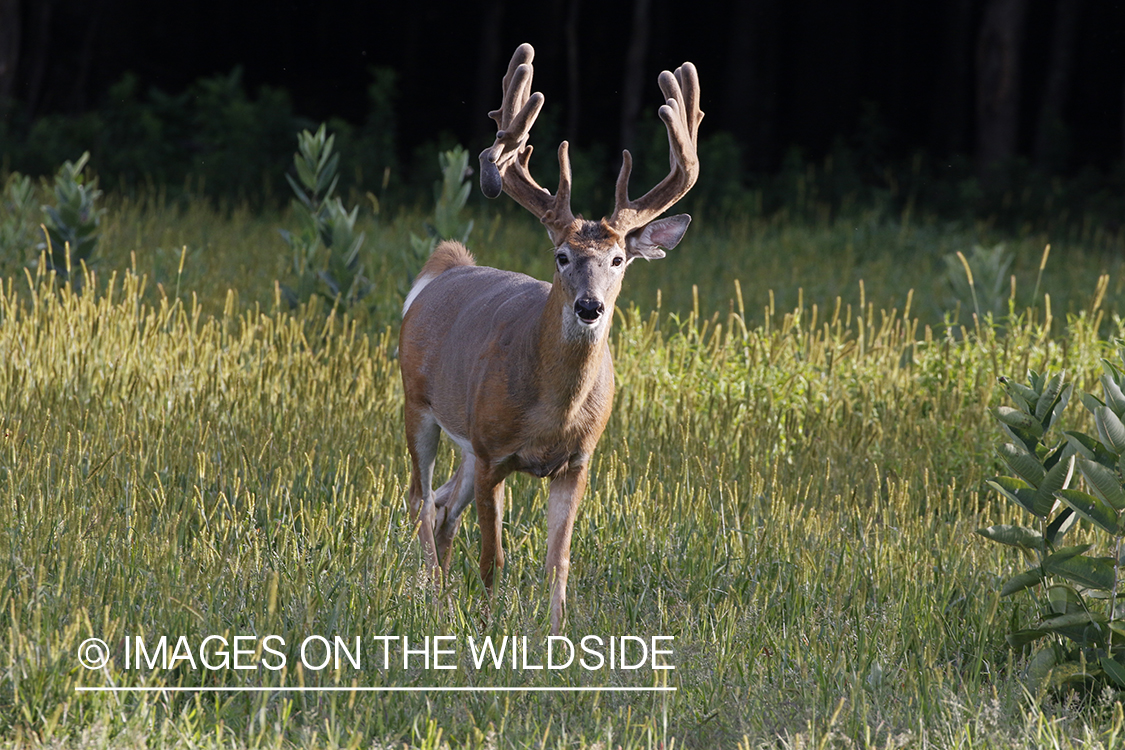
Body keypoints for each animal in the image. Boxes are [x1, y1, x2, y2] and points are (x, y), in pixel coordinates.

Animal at [398, 42, 702, 634]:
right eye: (561, 256)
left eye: (618, 259)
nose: (589, 306)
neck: (551, 413)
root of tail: (445, 267)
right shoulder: (493, 453)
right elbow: (493, 556)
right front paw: (489, 627)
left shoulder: (577, 461)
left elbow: (557, 560)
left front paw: (556, 633)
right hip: (418, 404)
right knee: (420, 500)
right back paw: (428, 598)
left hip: (464, 442)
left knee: (443, 504)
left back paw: (439, 596)